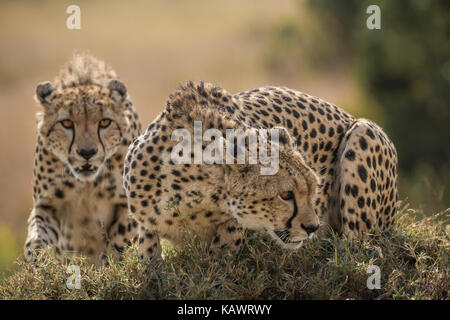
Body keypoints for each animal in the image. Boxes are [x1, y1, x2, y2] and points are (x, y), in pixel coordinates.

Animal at [24, 54, 144, 264]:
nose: (87, 152)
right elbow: (37, 235)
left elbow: (120, 238)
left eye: (105, 122)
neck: (87, 183)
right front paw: (40, 260)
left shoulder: (126, 204)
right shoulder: (46, 204)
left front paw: (111, 263)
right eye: (66, 123)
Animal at [122, 80, 398, 258]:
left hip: (365, 131)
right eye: (285, 195)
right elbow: (148, 256)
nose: (312, 227)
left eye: (314, 190)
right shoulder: (144, 221)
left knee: (359, 247)